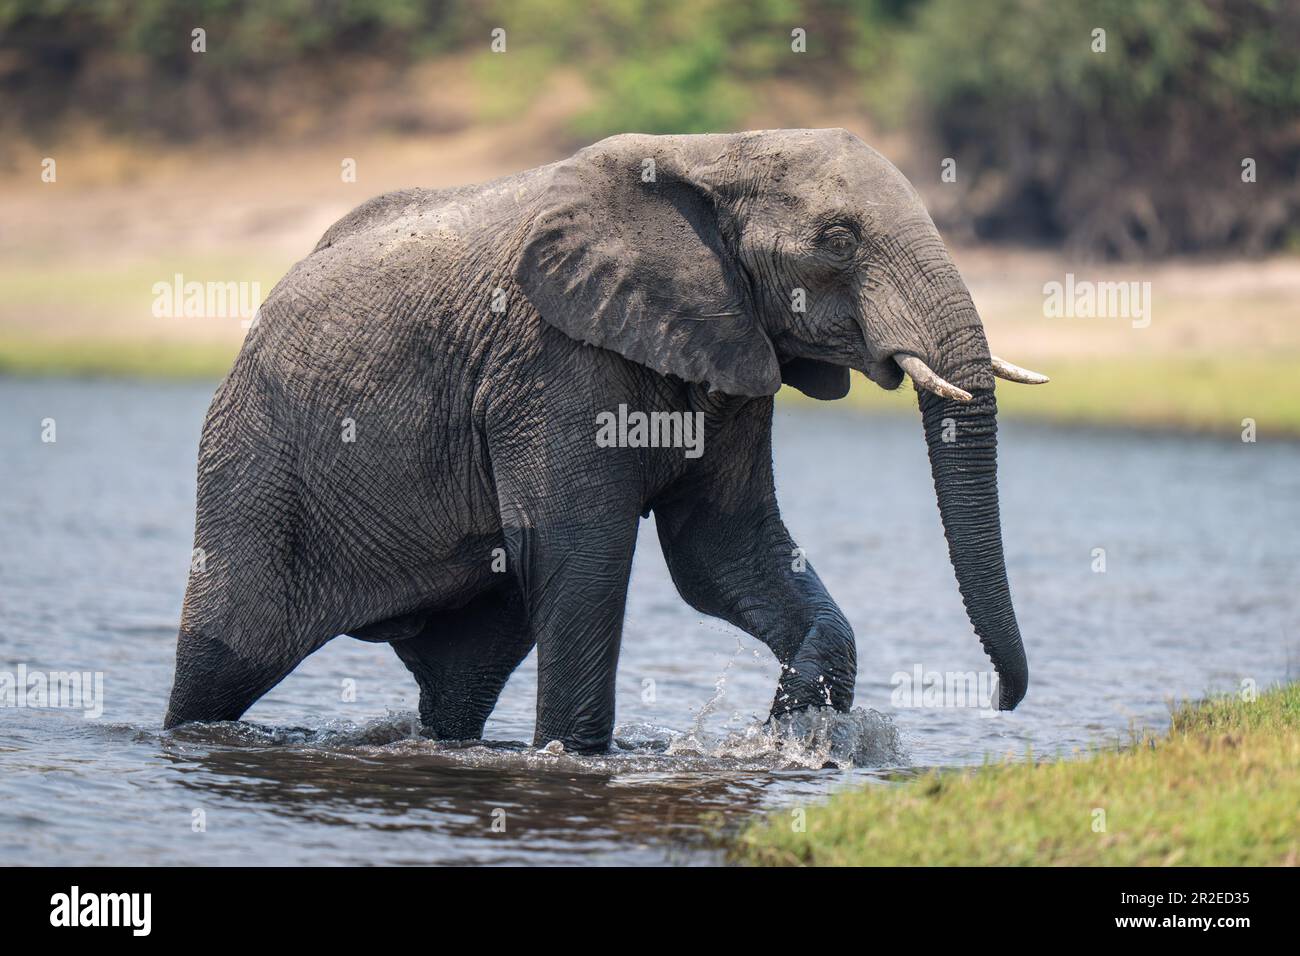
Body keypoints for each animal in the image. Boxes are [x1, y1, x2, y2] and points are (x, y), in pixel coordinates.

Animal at [164, 128, 1047, 753]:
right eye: (838, 239)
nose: (1004, 701)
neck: (720, 150)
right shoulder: (551, 358)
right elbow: (584, 548)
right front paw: (577, 757)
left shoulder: (733, 346)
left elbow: (721, 549)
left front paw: (790, 729)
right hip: (255, 458)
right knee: (224, 659)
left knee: (464, 674)